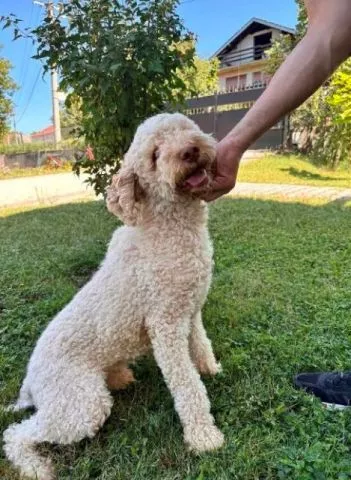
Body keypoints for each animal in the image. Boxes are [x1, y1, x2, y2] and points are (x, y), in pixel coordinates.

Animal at [3, 111, 226, 476]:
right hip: (81, 404)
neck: (168, 230)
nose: (190, 151)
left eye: (185, 129)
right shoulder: (166, 325)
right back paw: (36, 467)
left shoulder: (191, 310)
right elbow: (187, 384)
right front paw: (203, 436)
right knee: (17, 433)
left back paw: (120, 375)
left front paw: (210, 368)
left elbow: (201, 344)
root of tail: (30, 380)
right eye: (154, 155)